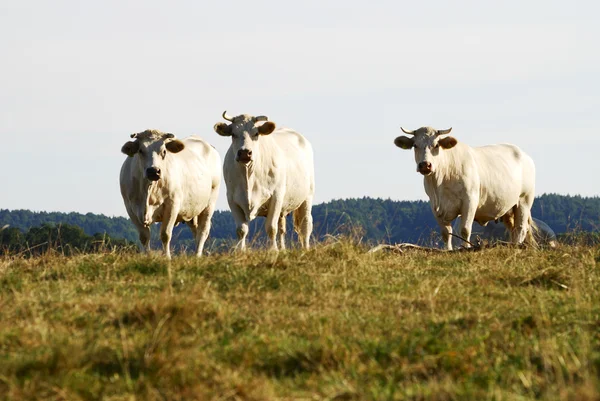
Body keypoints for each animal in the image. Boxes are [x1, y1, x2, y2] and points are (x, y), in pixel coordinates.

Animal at [119, 130, 220, 258]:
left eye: (164, 151)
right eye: (141, 150)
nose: (153, 171)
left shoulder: (172, 205)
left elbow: (165, 234)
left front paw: (167, 257)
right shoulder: (130, 208)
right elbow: (144, 237)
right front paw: (147, 257)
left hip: (210, 203)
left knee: (203, 231)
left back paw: (197, 256)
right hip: (193, 210)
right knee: (196, 231)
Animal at [214, 111, 316, 250]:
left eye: (256, 133)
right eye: (233, 134)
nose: (245, 153)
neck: (249, 177)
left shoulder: (276, 196)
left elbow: (271, 228)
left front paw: (273, 250)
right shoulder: (232, 199)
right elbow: (241, 230)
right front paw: (240, 250)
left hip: (307, 196)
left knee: (305, 225)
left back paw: (305, 248)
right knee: (282, 228)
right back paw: (283, 249)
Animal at [394, 126, 536, 248]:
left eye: (436, 145)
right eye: (415, 145)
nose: (425, 165)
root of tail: (524, 155)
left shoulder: (470, 201)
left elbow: (465, 230)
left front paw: (466, 248)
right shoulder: (435, 205)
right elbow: (446, 233)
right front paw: (448, 250)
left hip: (524, 201)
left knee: (521, 228)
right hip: (508, 208)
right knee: (513, 230)